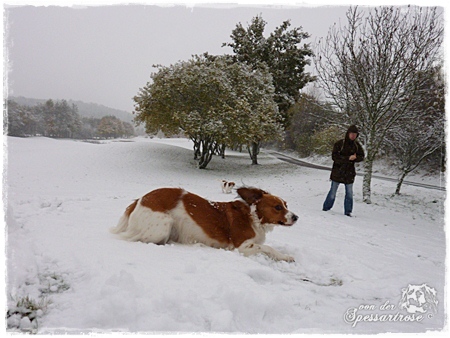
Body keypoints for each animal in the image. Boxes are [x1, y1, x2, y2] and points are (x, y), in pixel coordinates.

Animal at [110, 187, 298, 262]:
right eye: (278, 207)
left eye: (286, 204)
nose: (296, 217)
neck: (254, 217)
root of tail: (139, 200)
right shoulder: (241, 247)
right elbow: (268, 248)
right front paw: (285, 257)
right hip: (162, 226)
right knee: (133, 239)